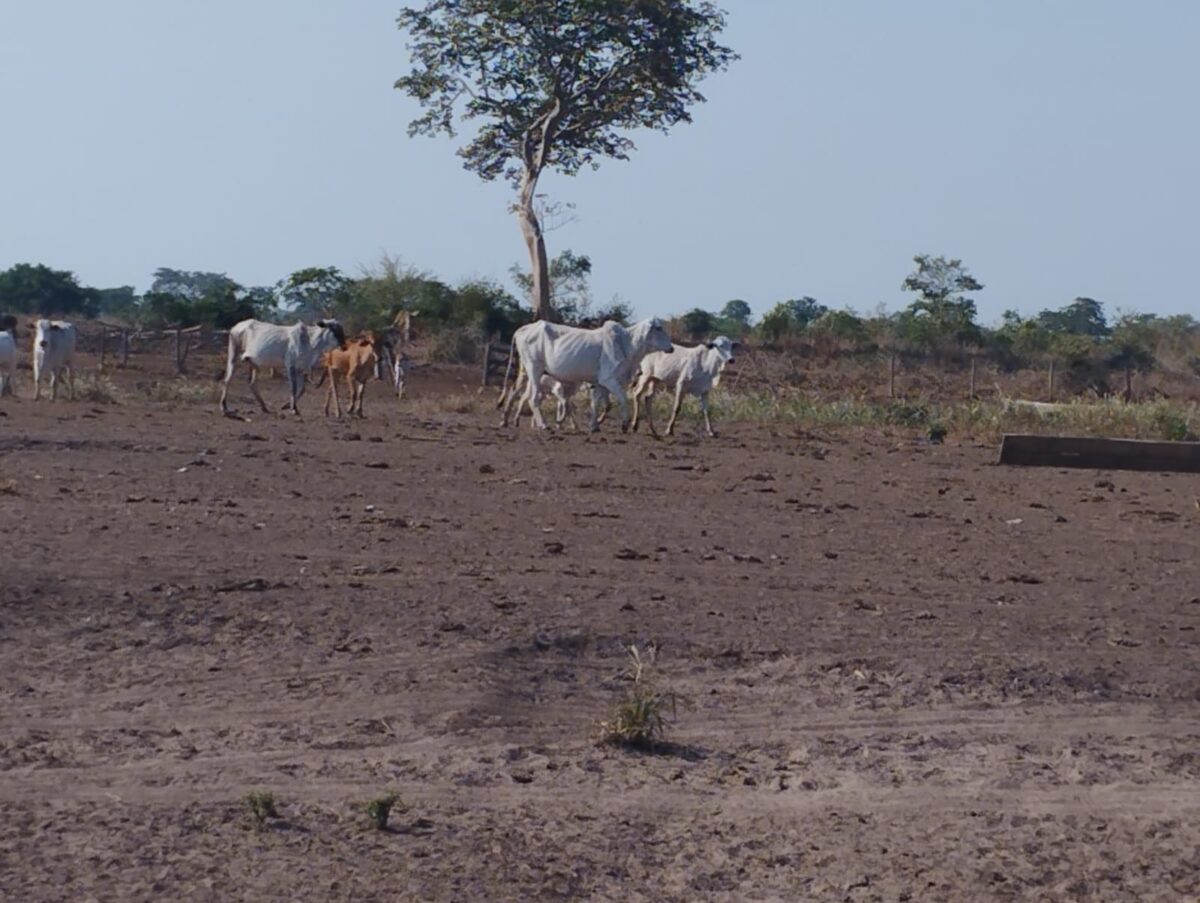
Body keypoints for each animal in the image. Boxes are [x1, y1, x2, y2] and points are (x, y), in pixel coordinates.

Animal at [499, 317, 676, 429]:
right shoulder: (609, 379)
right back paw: (542, 424)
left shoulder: (598, 382)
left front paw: (594, 425)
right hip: (534, 369)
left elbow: (597, 403)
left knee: (514, 391)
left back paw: (506, 420)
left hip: (526, 371)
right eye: (658, 328)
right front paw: (625, 424)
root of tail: (523, 329)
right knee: (532, 398)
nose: (671, 348)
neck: (626, 343)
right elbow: (622, 399)